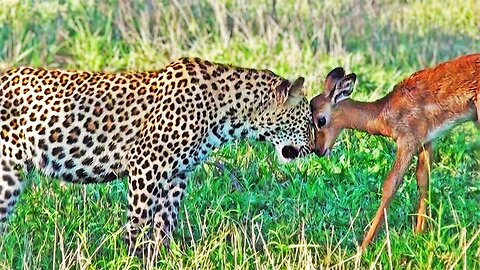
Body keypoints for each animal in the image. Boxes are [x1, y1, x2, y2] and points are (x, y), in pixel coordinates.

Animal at [0, 57, 314, 255]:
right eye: (308, 121)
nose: (314, 148)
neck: (231, 116)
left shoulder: (177, 175)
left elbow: (166, 219)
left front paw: (162, 254)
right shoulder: (146, 164)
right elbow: (138, 219)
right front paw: (131, 256)